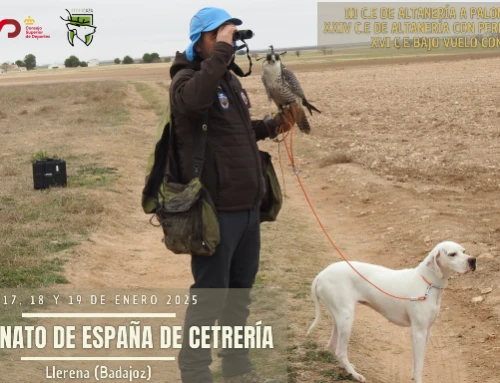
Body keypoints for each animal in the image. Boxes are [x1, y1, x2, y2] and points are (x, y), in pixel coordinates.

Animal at [306, 243, 474, 383]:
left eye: (464, 251)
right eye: (452, 254)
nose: (473, 260)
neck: (428, 283)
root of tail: (321, 275)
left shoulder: (427, 331)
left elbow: (420, 361)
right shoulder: (418, 332)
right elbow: (419, 364)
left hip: (340, 318)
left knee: (332, 346)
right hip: (346, 318)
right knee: (340, 351)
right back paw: (355, 375)